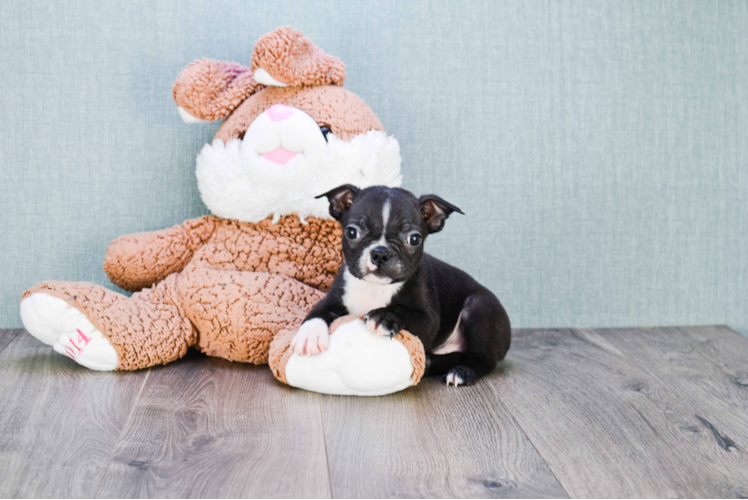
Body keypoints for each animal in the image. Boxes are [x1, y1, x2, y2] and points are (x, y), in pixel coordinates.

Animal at [290, 186, 512, 384]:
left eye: (414, 239)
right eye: (352, 232)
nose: (380, 252)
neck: (375, 287)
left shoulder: (429, 321)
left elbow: (404, 310)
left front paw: (385, 316)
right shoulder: (334, 299)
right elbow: (316, 312)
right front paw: (308, 336)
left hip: (479, 306)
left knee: (483, 359)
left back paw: (462, 372)